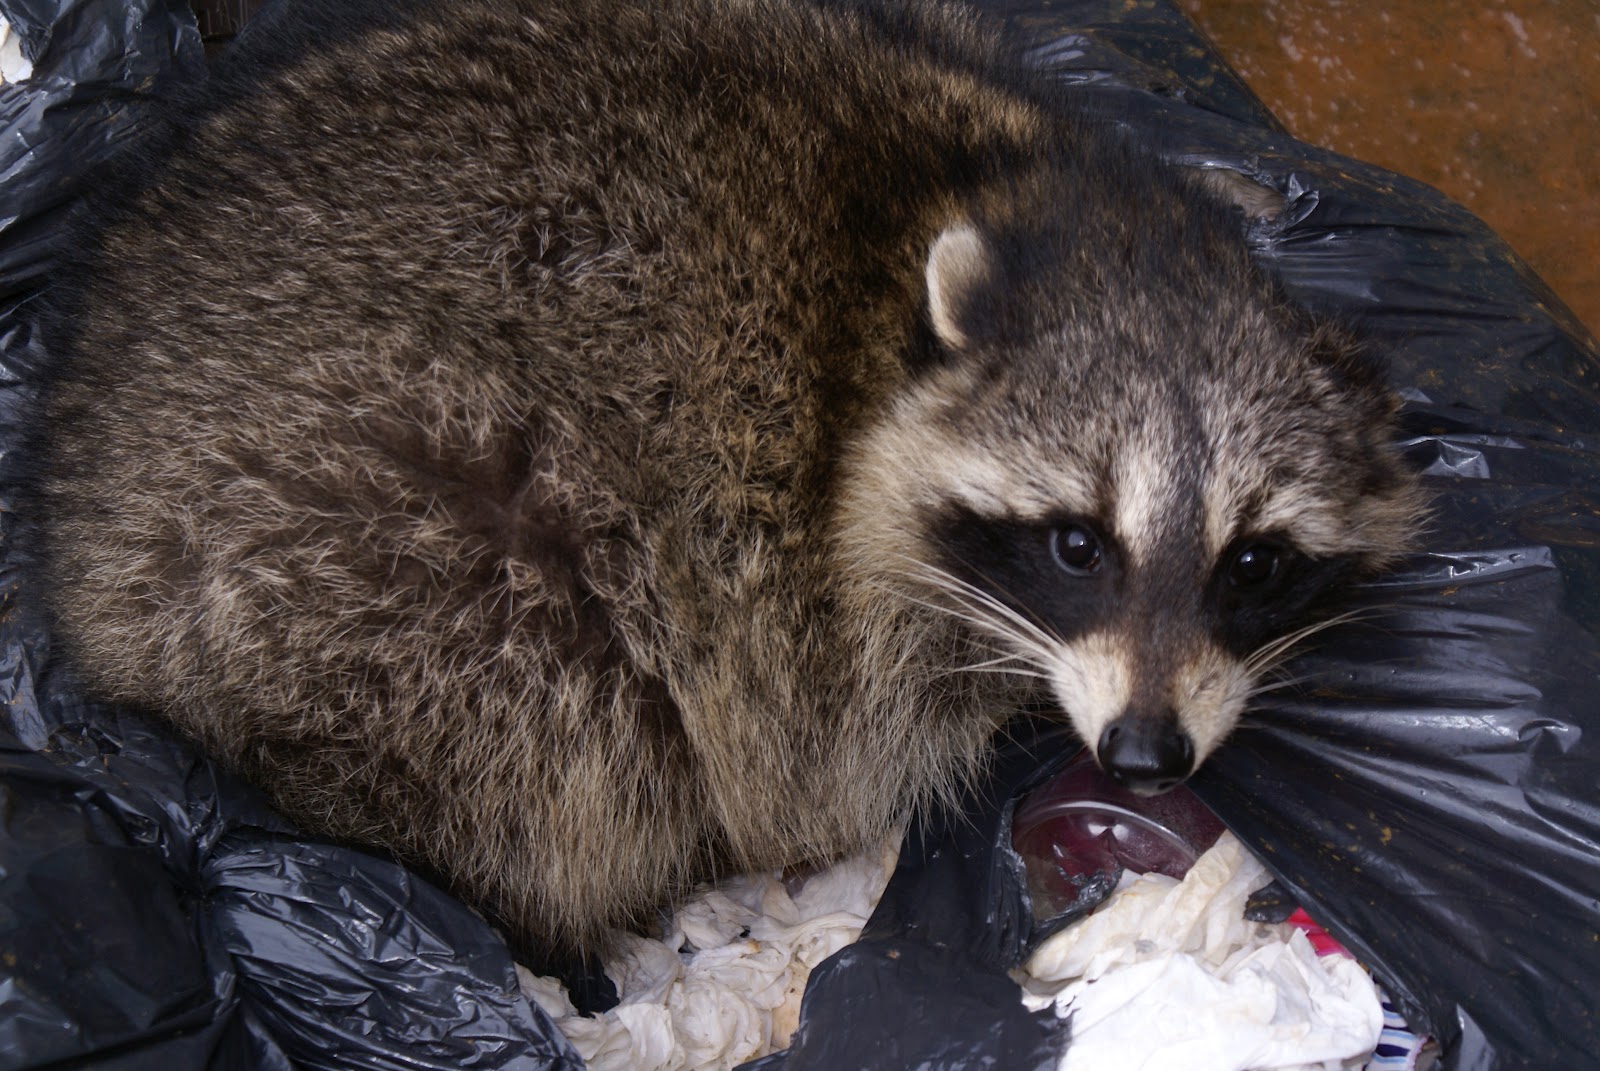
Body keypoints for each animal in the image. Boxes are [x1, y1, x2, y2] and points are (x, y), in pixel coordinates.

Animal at [30, 0, 1422, 957]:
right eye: (1079, 544)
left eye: (1254, 564)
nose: (1142, 757)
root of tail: (78, 484)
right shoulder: (824, 601)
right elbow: (832, 753)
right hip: (352, 529)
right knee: (561, 707)